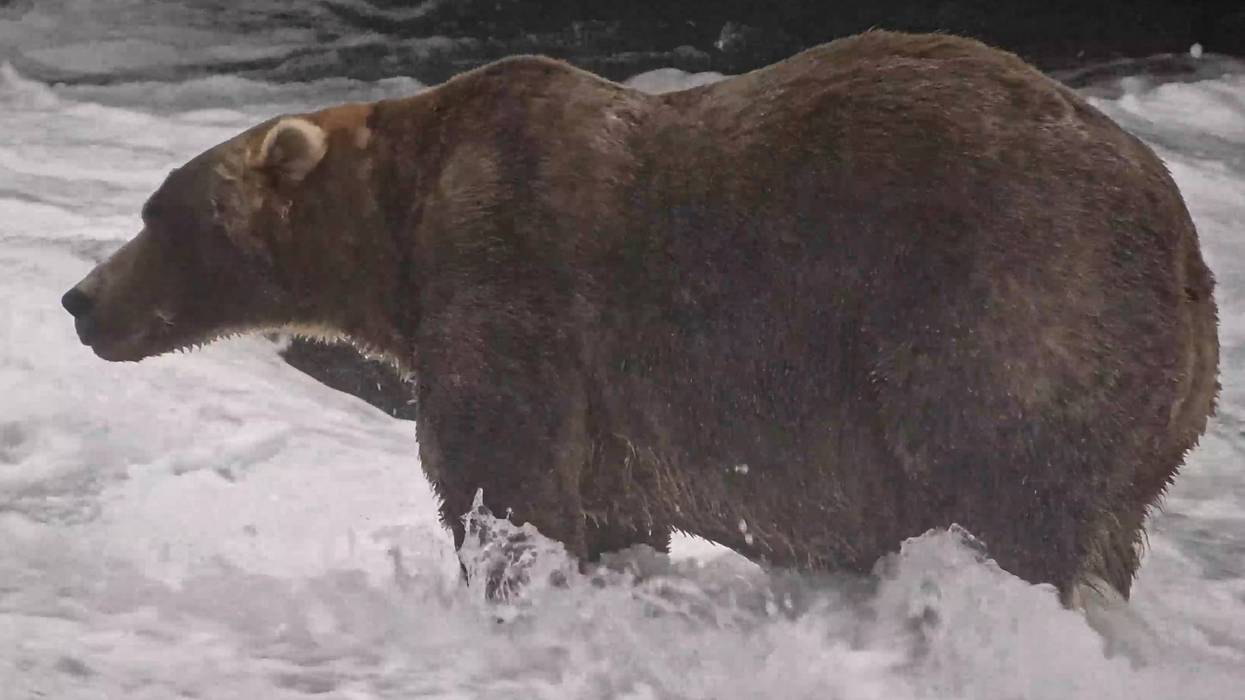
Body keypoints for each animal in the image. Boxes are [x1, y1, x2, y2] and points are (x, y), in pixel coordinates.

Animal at [61, 30, 1218, 603]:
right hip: (1154, 412)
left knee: (1005, 490)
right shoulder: (612, 405)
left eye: (159, 212)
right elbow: (609, 507)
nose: (80, 300)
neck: (397, 232)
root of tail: (1184, 245)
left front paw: (508, 583)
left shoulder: (512, 273)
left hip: (1006, 306)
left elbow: (501, 476)